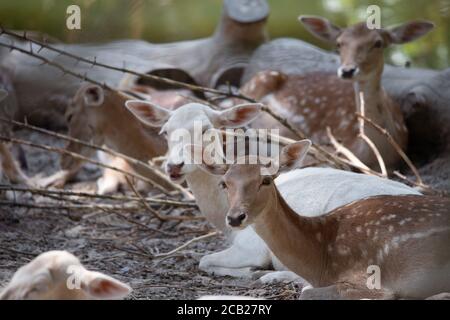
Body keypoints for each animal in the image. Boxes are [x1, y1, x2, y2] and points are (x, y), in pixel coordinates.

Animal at [125, 99, 420, 282]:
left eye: (207, 128)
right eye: (165, 131)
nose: (174, 166)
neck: (223, 221)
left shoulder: (252, 246)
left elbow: (204, 260)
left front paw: (252, 270)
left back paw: (271, 275)